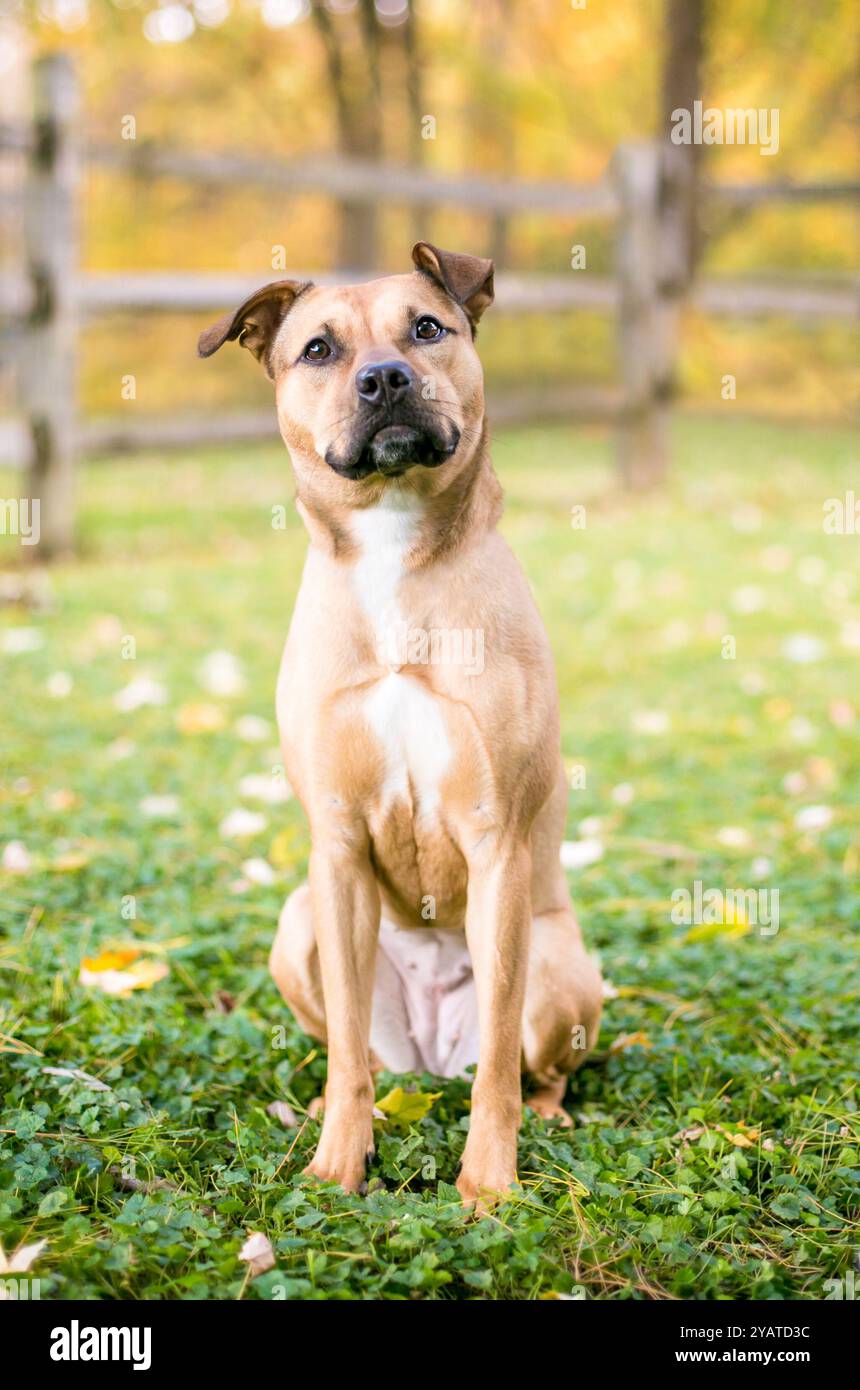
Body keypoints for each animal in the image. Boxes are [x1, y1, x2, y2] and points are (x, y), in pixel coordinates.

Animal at [200, 241, 605, 1206]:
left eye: (428, 328)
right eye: (317, 349)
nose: (384, 379)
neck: (392, 547)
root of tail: (428, 1056)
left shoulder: (496, 846)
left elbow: (497, 1067)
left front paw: (489, 1184)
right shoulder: (338, 846)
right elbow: (347, 1052)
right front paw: (338, 1165)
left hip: (558, 963)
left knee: (527, 1065)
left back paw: (548, 1114)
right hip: (299, 926)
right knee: (367, 1059)